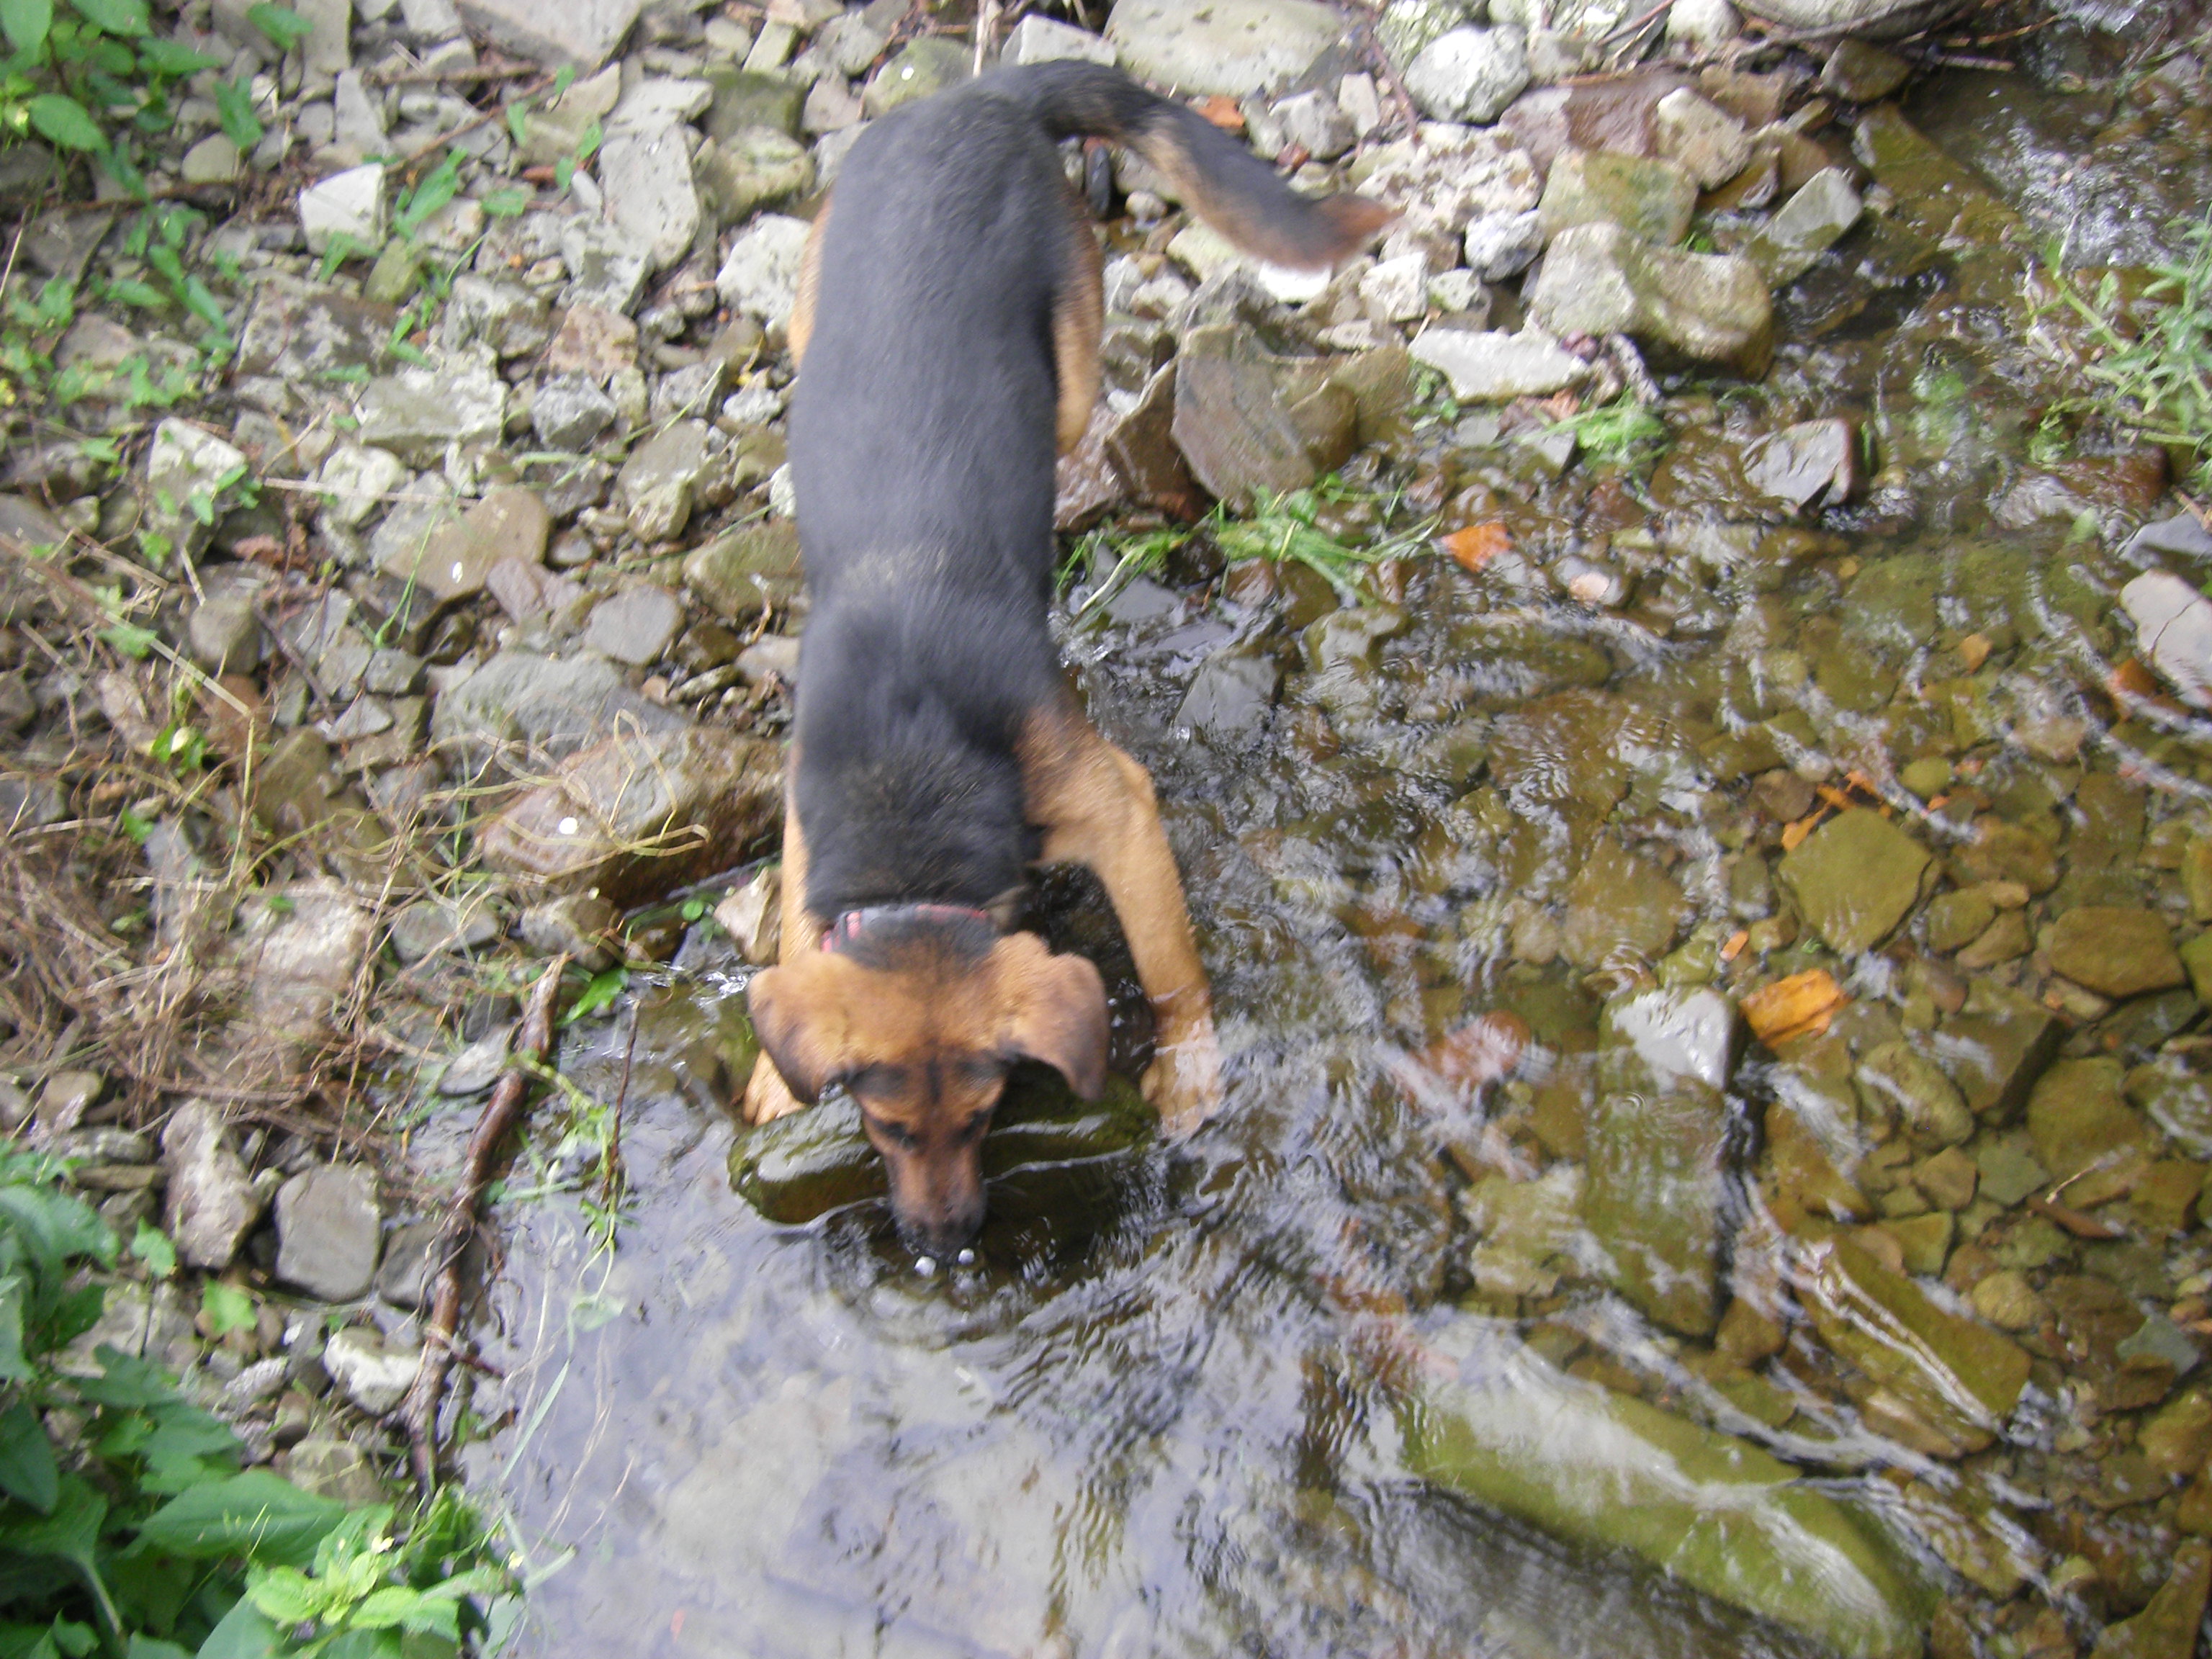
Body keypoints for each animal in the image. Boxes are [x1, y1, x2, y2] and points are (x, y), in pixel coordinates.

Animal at [743, 61, 1389, 1256]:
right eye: (886, 1129)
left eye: (988, 1111)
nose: (942, 1241)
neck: (912, 797)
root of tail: (980, 97)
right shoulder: (806, 819)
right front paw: (771, 1081)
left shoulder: (1119, 812)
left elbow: (1173, 971)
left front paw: (1190, 1073)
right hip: (809, 309)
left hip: (1071, 365)